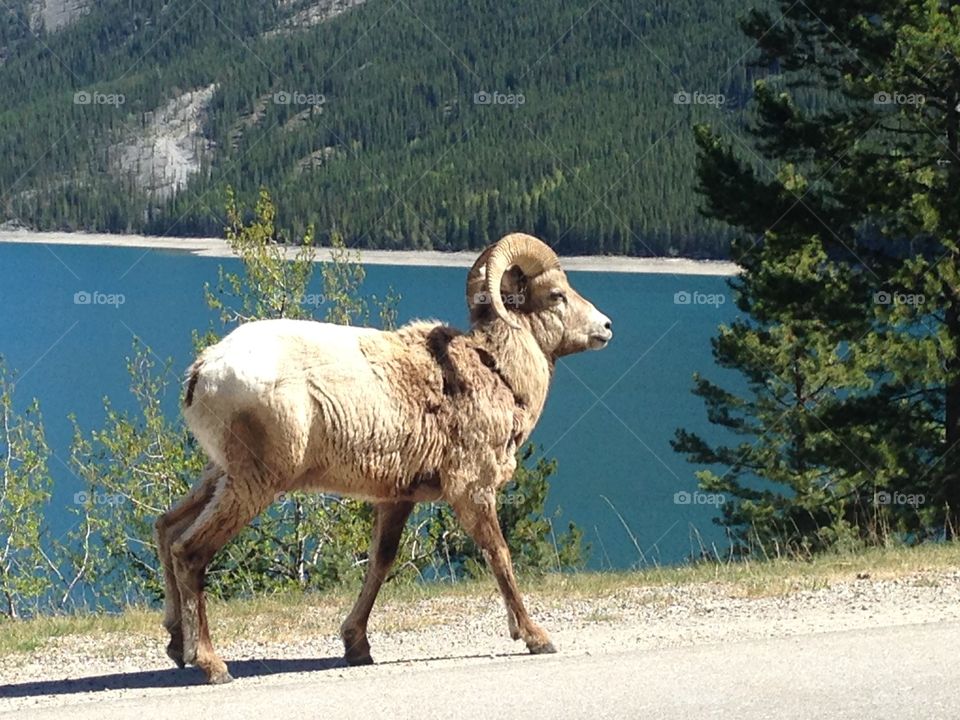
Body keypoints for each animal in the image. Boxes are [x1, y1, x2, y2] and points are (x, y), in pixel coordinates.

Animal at [154, 232, 613, 684]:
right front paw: (536, 637)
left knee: (165, 527)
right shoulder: (472, 490)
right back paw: (212, 665)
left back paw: (177, 645)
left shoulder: (396, 498)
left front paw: (357, 647)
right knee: (190, 551)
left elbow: (380, 562)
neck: (497, 372)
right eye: (556, 295)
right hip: (255, 483)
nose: (606, 327)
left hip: (219, 475)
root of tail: (204, 371)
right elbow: (499, 554)